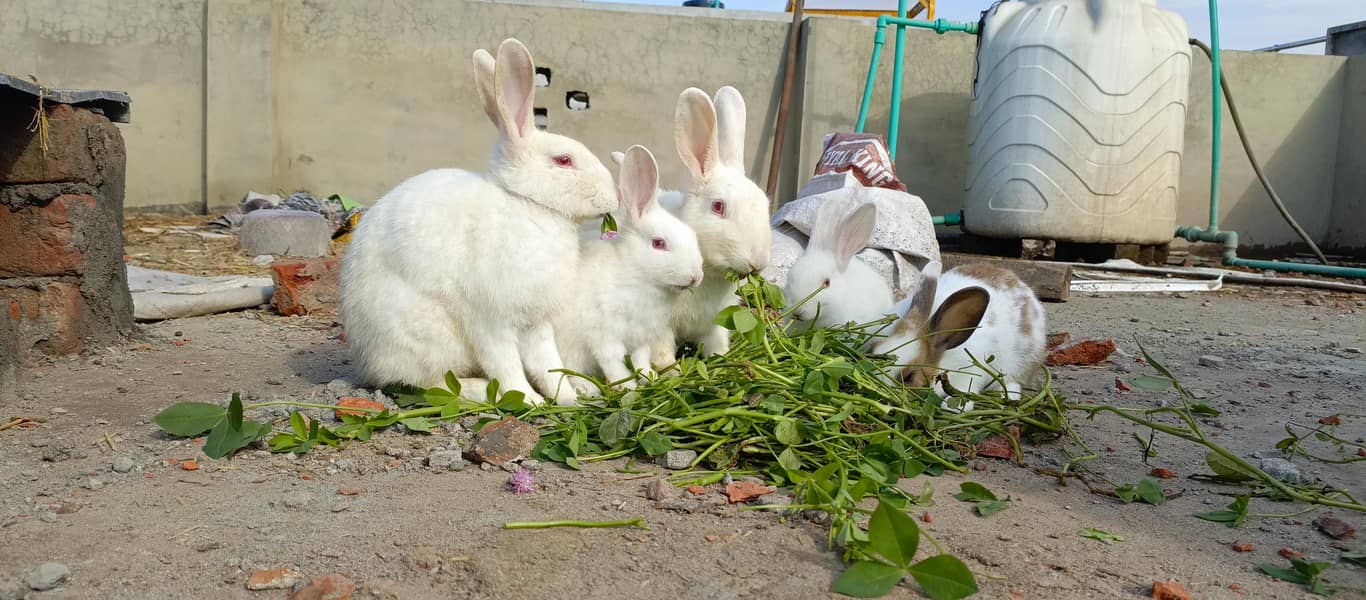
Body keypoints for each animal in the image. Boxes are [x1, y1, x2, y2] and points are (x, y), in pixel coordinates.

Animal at [338, 38, 618, 406]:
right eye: (564, 160)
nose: (613, 198)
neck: (529, 205)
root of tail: (367, 359)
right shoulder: (490, 320)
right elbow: (505, 363)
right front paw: (529, 400)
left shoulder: (536, 322)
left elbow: (547, 362)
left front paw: (568, 398)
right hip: (427, 337)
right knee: (430, 383)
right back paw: (481, 389)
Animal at [556, 145, 705, 394]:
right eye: (658, 243)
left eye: (692, 235)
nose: (696, 276)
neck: (637, 276)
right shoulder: (605, 337)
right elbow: (614, 364)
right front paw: (628, 388)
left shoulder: (641, 339)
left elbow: (640, 360)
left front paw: (649, 377)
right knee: (568, 372)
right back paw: (589, 388)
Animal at [609, 87, 773, 366]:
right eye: (718, 206)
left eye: (766, 202)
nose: (759, 261)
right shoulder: (661, 328)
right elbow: (662, 350)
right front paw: (671, 370)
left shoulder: (714, 324)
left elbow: (717, 344)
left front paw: (722, 358)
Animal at [871, 260, 1046, 412]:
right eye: (872, 351)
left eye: (908, 377)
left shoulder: (971, 376)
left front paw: (953, 407)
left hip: (1020, 365)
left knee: (1013, 383)